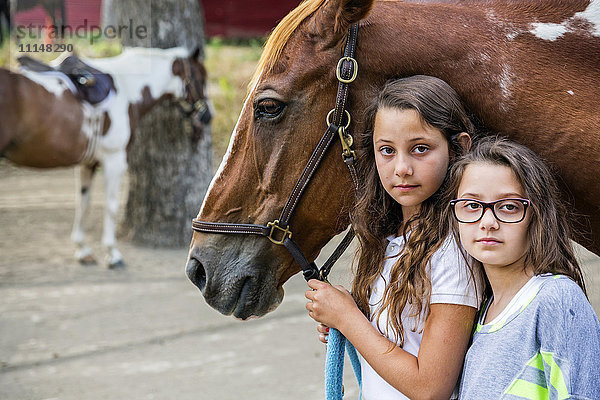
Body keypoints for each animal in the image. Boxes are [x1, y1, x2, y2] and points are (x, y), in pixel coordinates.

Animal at [1, 46, 211, 266]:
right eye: (202, 78)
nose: (207, 116)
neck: (126, 89)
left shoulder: (88, 163)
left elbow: (83, 203)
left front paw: (82, 249)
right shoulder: (114, 160)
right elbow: (111, 206)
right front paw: (112, 253)